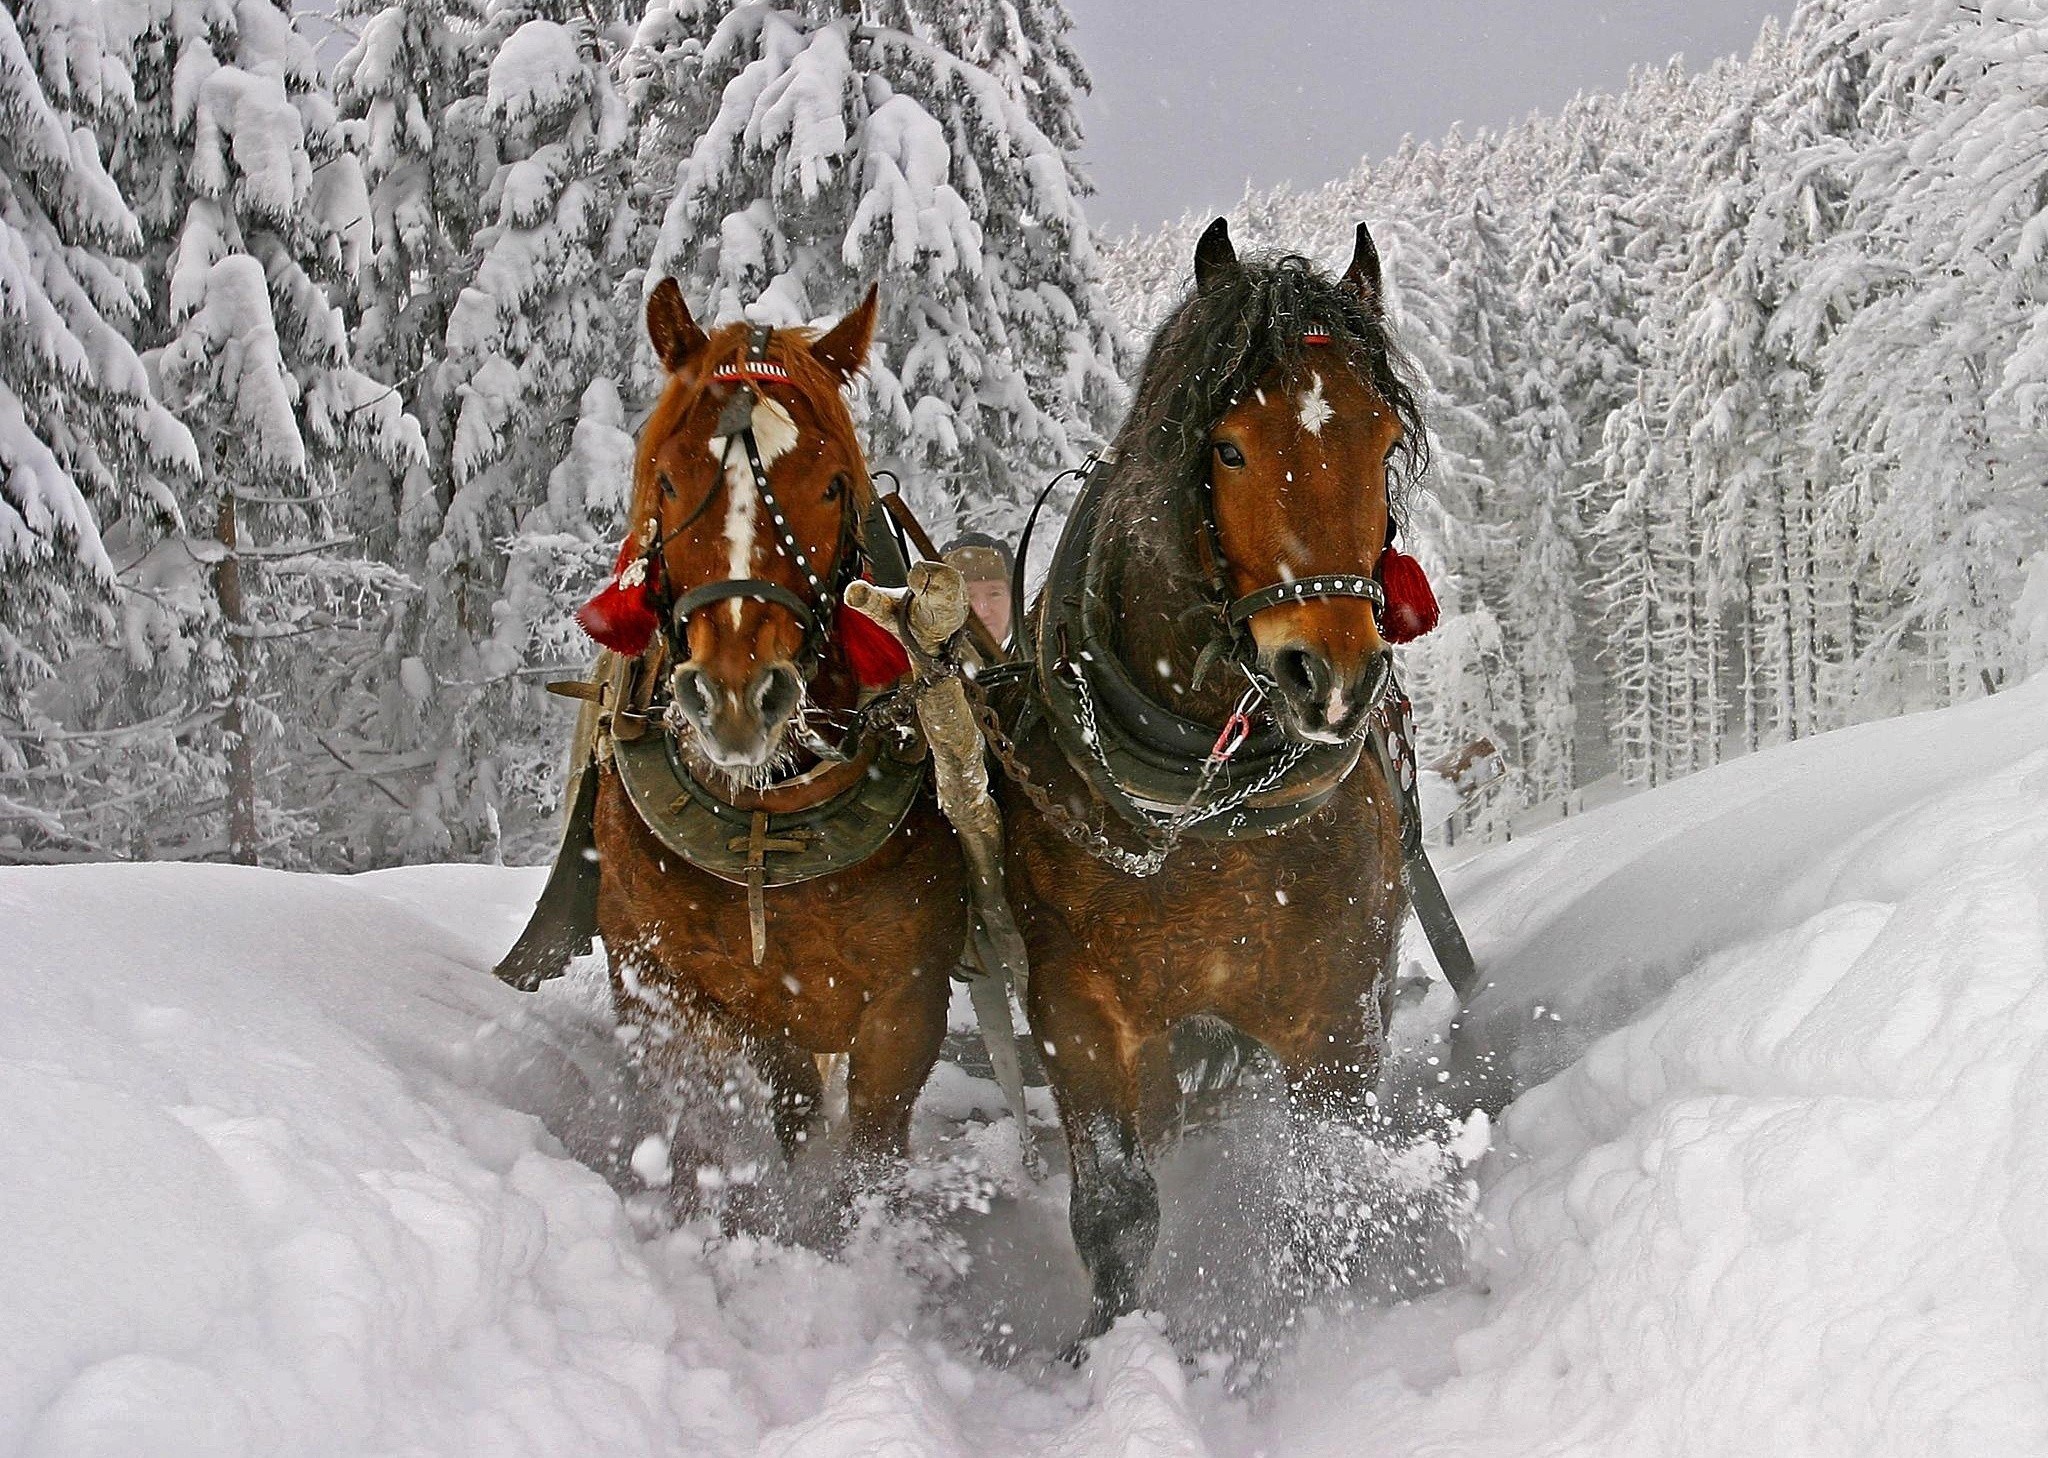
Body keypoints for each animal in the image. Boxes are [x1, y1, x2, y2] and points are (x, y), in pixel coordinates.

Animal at [505, 279, 971, 1225]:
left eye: (832, 486)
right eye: (669, 476)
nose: (733, 697)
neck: (769, 816)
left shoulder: (907, 1002)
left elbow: (869, 1157)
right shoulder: (667, 983)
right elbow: (699, 1134)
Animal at [988, 218, 1431, 1343]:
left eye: (1382, 444)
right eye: (1227, 447)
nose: (1332, 675)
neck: (1205, 811)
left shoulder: (1337, 1008)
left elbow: (1327, 1180)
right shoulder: (1076, 1009)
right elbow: (1115, 1208)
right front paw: (1107, 1349)